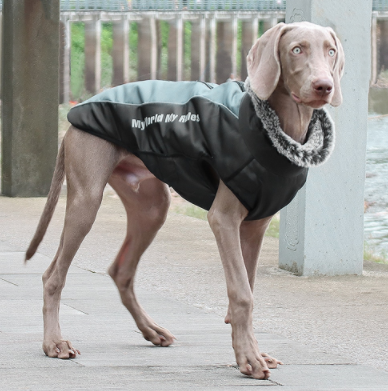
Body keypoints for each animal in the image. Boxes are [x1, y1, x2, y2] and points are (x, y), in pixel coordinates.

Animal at [25, 22, 344, 380]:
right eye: (296, 49)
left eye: (330, 50)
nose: (324, 86)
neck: (277, 128)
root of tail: (76, 111)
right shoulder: (223, 219)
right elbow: (241, 293)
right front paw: (249, 359)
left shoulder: (255, 225)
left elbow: (247, 289)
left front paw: (251, 352)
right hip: (86, 200)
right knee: (53, 274)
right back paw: (54, 343)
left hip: (152, 207)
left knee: (121, 270)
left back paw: (151, 331)